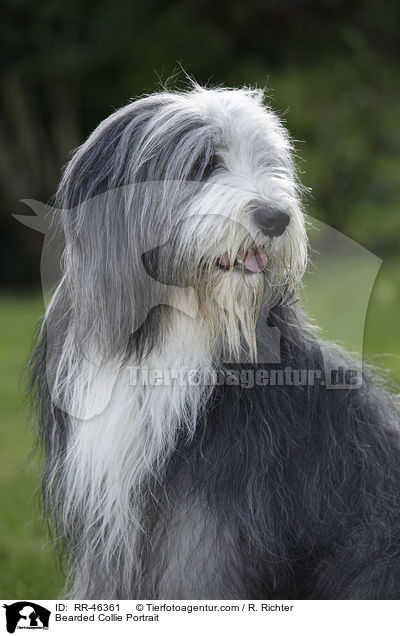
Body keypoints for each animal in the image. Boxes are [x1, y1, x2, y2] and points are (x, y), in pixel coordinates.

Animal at [32, 83, 400, 596]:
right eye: (205, 164)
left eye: (267, 162)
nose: (276, 218)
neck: (174, 328)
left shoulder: (212, 506)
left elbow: (196, 579)